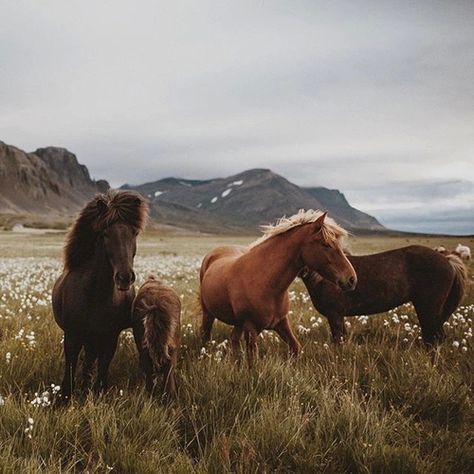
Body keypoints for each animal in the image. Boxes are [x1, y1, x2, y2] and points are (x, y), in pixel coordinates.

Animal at [51, 189, 148, 400]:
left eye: (135, 233)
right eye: (105, 233)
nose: (124, 277)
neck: (94, 296)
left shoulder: (109, 337)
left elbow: (102, 371)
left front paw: (96, 394)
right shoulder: (72, 335)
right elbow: (69, 369)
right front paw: (64, 398)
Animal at [198, 209, 358, 364]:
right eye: (325, 244)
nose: (352, 279)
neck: (266, 283)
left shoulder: (281, 322)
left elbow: (296, 348)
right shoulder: (250, 327)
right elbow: (253, 362)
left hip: (238, 323)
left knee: (234, 340)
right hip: (209, 314)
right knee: (205, 335)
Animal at [302, 244, 468, 344]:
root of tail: (447, 259)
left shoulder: (335, 314)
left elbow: (339, 342)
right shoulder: (338, 316)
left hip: (428, 309)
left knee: (434, 338)